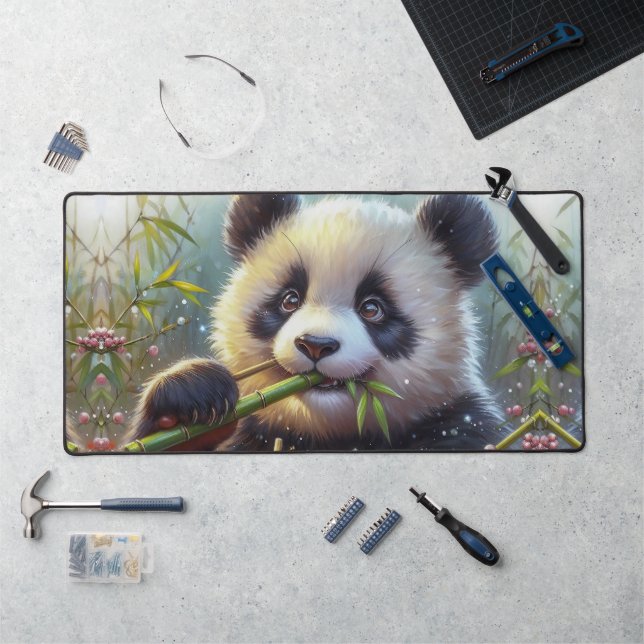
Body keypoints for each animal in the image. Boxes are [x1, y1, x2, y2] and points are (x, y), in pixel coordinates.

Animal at [132, 193, 503, 451]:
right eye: (290, 300)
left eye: (372, 308)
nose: (315, 345)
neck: (330, 431)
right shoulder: (256, 430)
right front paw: (191, 395)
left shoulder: (458, 423)